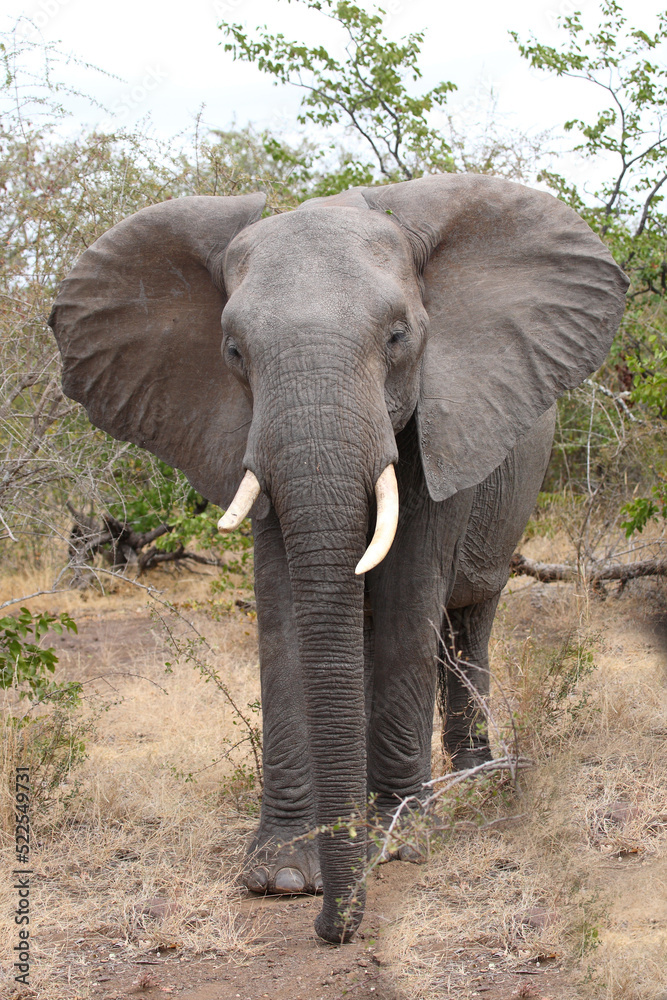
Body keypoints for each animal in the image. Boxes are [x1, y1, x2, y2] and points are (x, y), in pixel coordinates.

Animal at [49, 173, 628, 944]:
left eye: (397, 336)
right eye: (233, 351)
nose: (334, 930)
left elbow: (408, 600)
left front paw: (399, 841)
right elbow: (285, 614)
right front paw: (286, 875)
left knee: (468, 619)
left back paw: (474, 783)